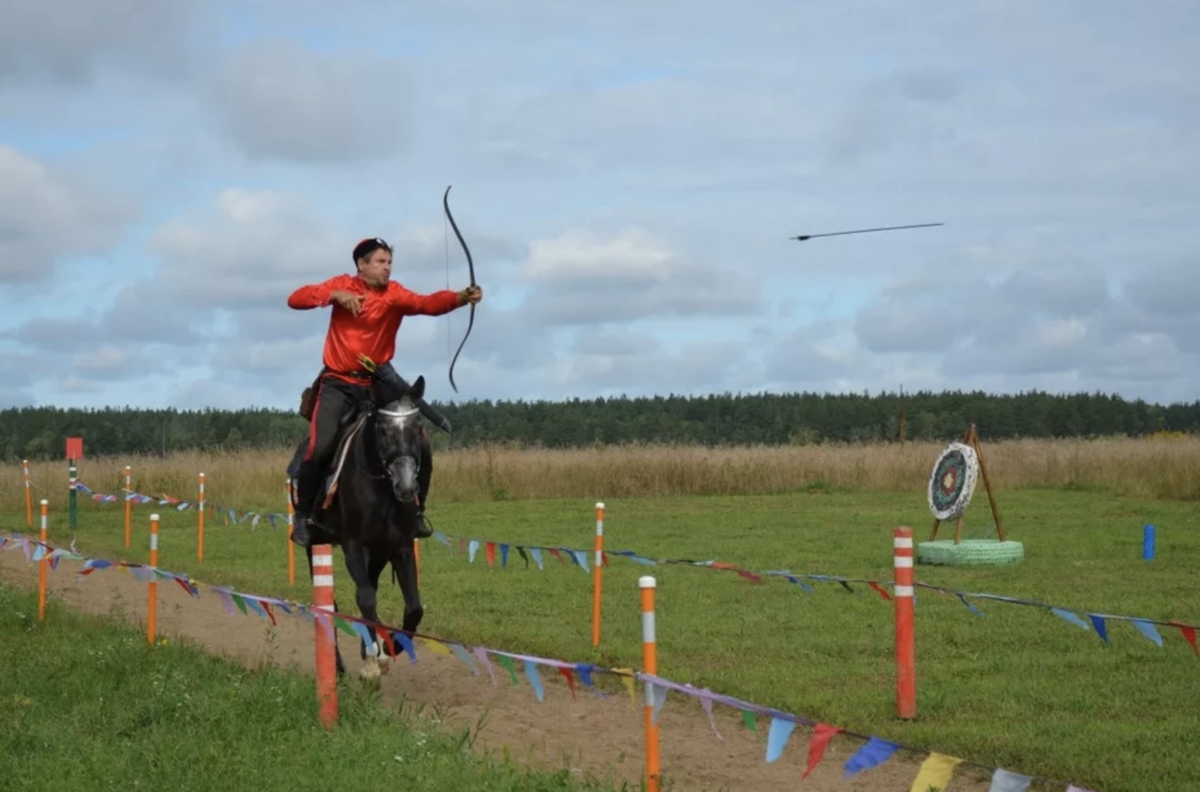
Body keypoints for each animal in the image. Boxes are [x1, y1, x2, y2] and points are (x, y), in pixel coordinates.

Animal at [288, 374, 434, 681]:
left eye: (418, 427)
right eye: (383, 429)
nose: (406, 487)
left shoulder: (400, 547)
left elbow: (414, 607)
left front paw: (390, 647)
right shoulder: (354, 547)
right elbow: (365, 600)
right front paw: (371, 664)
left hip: (378, 554)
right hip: (315, 546)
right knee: (331, 605)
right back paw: (339, 666)